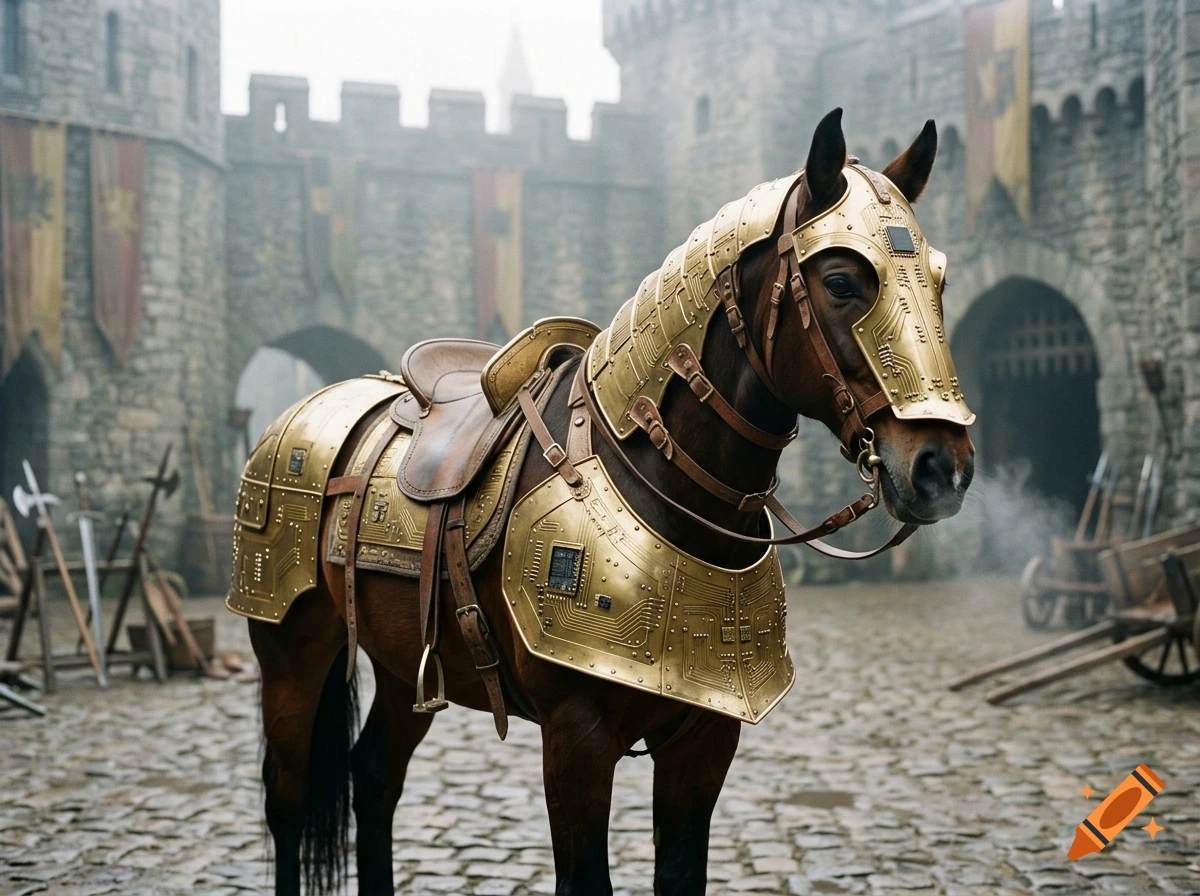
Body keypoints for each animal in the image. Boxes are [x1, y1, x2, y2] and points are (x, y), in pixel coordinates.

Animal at [242, 108, 975, 895]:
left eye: (939, 282)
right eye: (841, 280)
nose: (942, 468)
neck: (666, 486)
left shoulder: (705, 736)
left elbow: (680, 874)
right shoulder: (578, 737)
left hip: (407, 658)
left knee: (374, 776)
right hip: (290, 644)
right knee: (289, 800)